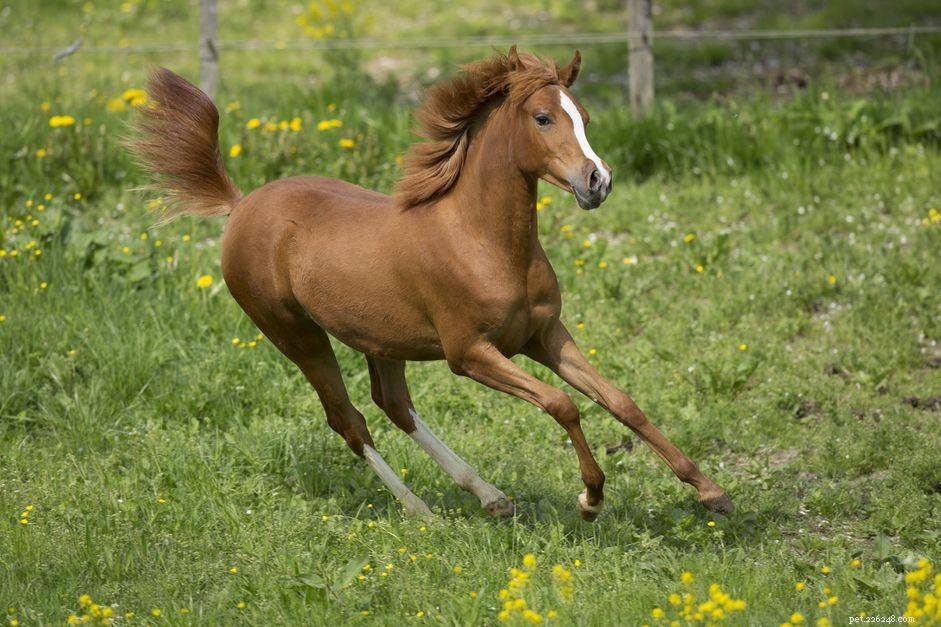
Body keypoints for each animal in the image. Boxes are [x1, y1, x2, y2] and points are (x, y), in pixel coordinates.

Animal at [131, 46, 733, 521]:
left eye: (583, 116)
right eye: (542, 118)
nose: (597, 181)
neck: (482, 241)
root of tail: (241, 205)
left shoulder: (545, 336)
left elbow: (621, 401)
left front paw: (711, 491)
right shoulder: (470, 354)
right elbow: (562, 403)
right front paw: (590, 499)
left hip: (379, 340)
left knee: (392, 405)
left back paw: (490, 496)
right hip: (296, 335)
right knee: (349, 420)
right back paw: (421, 511)